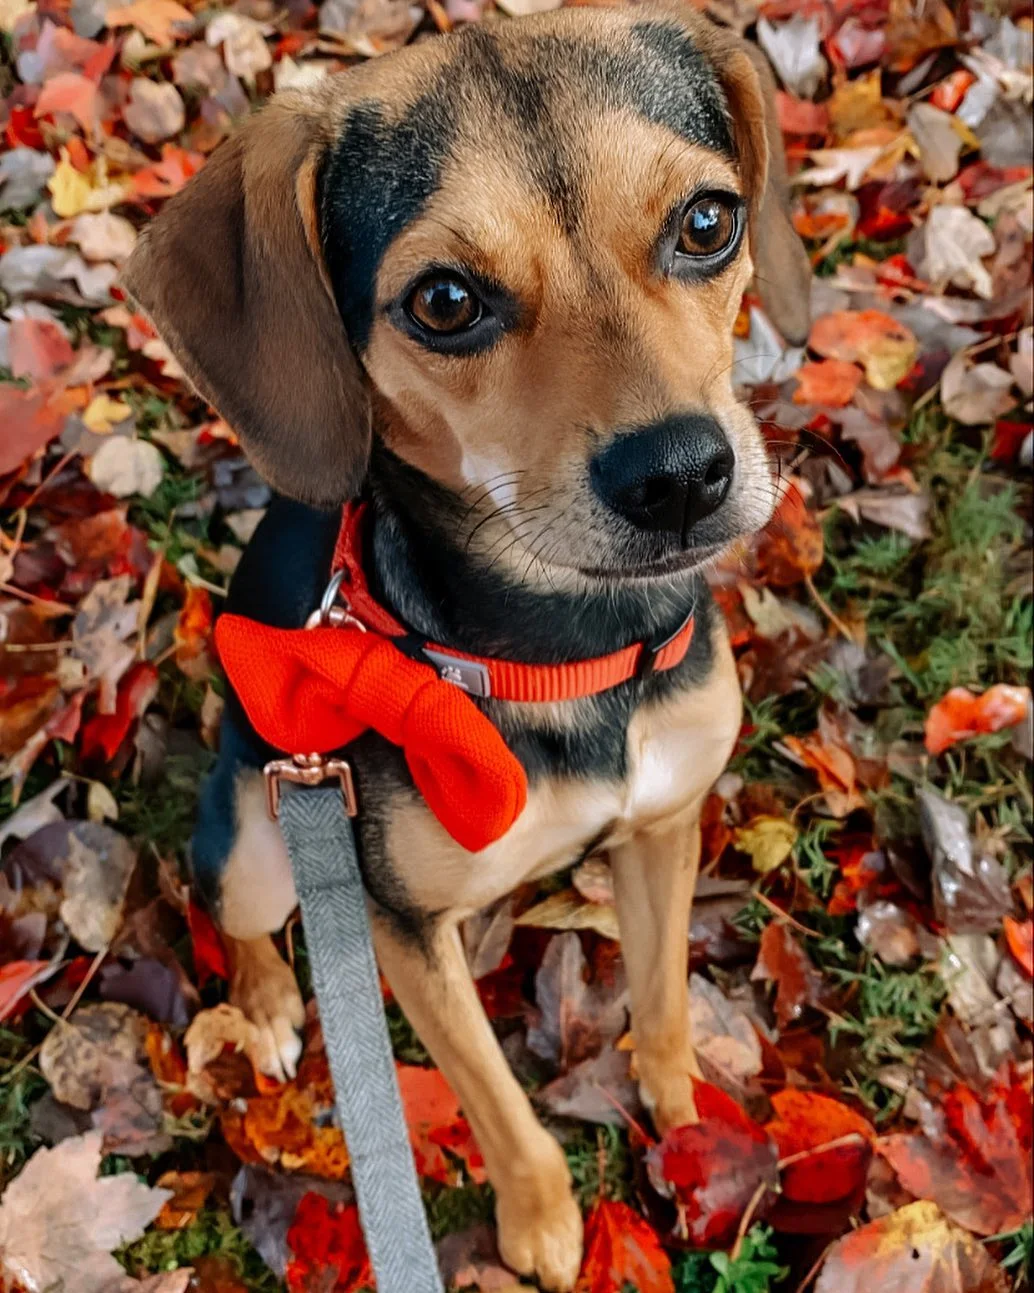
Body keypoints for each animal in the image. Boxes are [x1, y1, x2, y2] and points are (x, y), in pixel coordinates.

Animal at [125, 5, 811, 1287]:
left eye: (706, 221)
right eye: (443, 302)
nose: (678, 476)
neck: (571, 644)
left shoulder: (663, 824)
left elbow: (660, 999)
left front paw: (684, 1116)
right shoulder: (401, 933)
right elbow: (498, 1106)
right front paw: (542, 1227)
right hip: (259, 835)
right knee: (230, 910)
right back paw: (271, 1012)